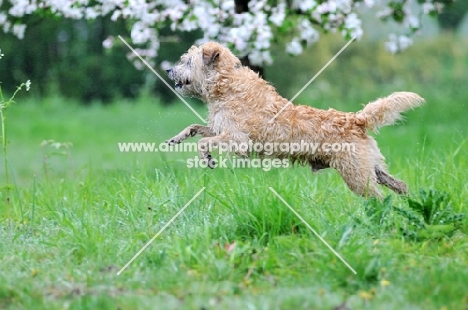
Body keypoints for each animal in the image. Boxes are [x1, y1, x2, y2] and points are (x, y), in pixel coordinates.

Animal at [165, 41, 424, 197]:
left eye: (187, 61)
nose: (168, 70)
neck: (225, 83)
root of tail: (355, 119)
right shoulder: (221, 130)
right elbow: (196, 128)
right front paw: (176, 139)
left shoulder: (239, 140)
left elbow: (203, 141)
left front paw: (207, 158)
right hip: (371, 168)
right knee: (399, 185)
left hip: (356, 175)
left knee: (378, 197)